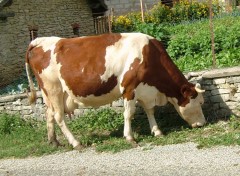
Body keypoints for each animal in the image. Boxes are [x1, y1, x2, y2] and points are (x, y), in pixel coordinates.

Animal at [25, 32, 206, 148]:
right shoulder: (129, 88)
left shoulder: (145, 90)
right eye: (199, 103)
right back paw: (76, 143)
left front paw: (157, 131)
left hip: (49, 93)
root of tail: (39, 41)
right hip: (54, 89)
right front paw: (130, 137)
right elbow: (129, 114)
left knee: (49, 114)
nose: (203, 123)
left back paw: (54, 142)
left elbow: (150, 110)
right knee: (59, 116)